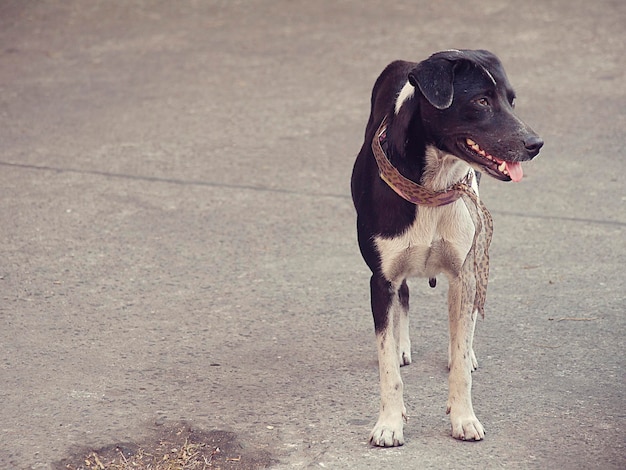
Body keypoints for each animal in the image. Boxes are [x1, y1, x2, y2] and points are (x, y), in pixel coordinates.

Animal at [352, 49, 540, 446]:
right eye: (482, 101)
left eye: (511, 100)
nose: (535, 144)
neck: (434, 184)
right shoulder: (380, 279)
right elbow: (387, 366)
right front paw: (389, 423)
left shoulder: (463, 272)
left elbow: (460, 361)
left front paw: (464, 418)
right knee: (404, 297)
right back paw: (403, 345)